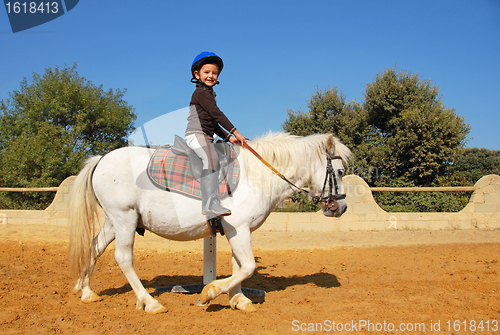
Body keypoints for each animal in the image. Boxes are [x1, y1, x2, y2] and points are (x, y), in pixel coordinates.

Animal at [69, 133, 352, 314]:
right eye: (339, 172)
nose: (342, 207)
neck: (258, 175)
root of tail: (101, 159)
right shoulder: (238, 228)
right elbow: (247, 266)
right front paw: (210, 293)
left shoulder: (239, 231)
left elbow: (239, 266)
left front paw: (238, 299)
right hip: (124, 218)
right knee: (123, 259)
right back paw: (150, 302)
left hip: (113, 222)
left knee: (94, 248)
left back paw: (86, 291)